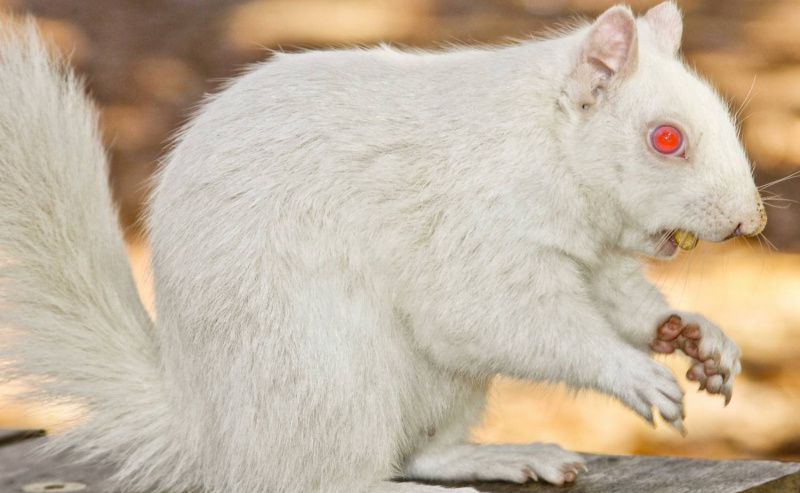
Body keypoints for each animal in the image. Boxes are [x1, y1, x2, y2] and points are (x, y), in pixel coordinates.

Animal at [0, 2, 766, 492]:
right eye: (665, 138)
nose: (749, 223)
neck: (545, 149)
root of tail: (207, 430)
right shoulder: (474, 234)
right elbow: (495, 319)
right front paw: (632, 371)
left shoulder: (593, 257)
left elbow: (626, 301)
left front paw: (699, 338)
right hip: (327, 373)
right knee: (311, 481)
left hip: (436, 388)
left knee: (416, 449)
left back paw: (499, 458)